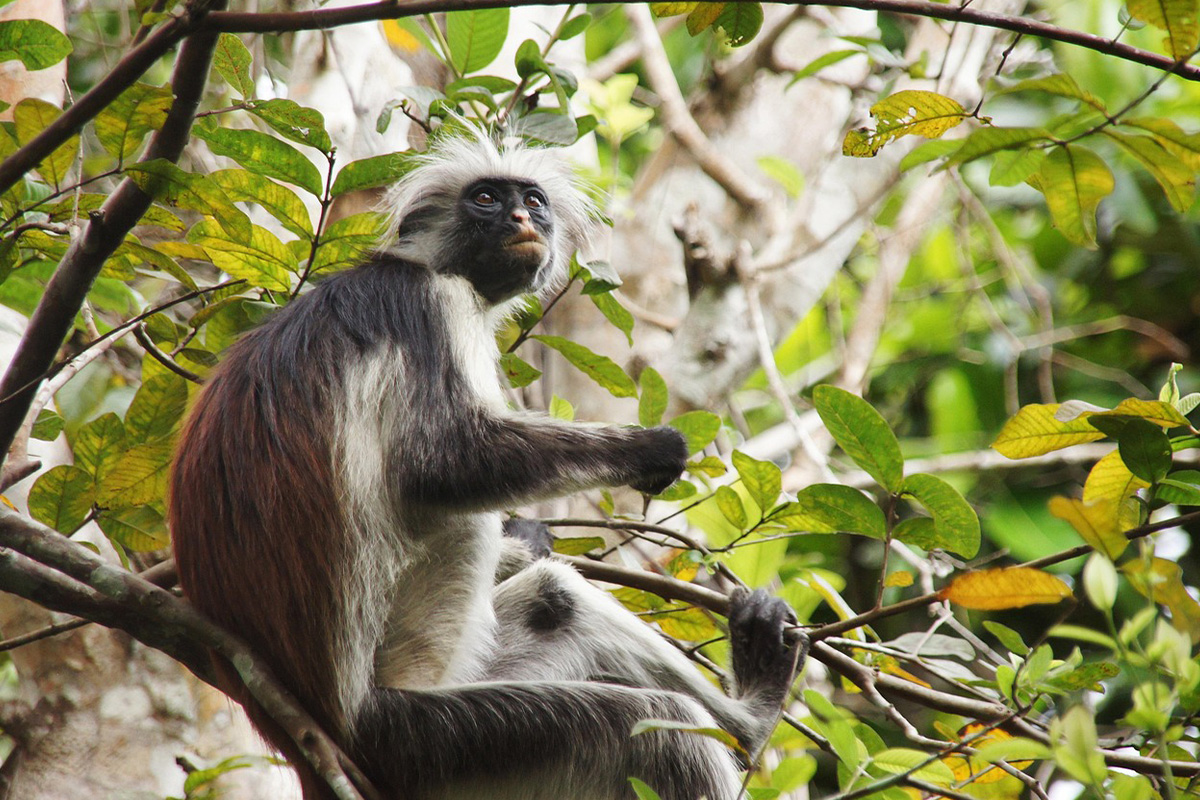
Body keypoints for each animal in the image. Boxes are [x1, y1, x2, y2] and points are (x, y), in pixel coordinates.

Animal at [168, 133, 802, 800]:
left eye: (533, 201)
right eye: (487, 200)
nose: (523, 219)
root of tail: (311, 739)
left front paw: (526, 538)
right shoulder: (430, 303)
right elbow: (445, 464)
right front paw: (649, 450)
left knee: (556, 601)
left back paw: (747, 722)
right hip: (424, 735)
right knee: (658, 725)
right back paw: (748, 721)